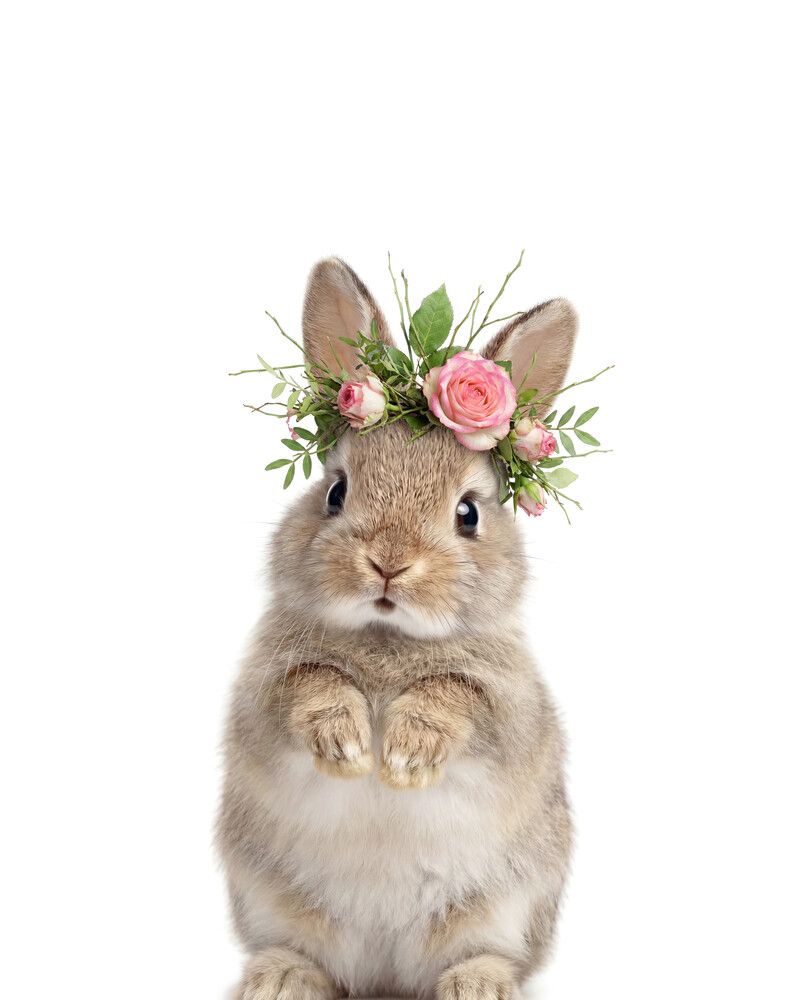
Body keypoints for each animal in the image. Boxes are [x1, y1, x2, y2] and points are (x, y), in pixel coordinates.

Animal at [217, 258, 577, 1000]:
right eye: (335, 492)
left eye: (469, 513)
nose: (388, 563)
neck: (389, 639)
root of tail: (385, 977)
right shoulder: (264, 691)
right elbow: (309, 686)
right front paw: (349, 746)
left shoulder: (508, 706)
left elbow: (457, 697)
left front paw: (406, 756)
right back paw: (280, 978)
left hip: (505, 907)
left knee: (487, 953)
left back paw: (479, 985)